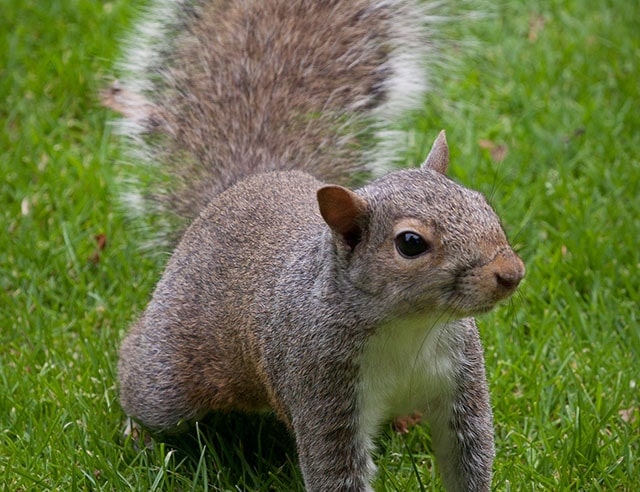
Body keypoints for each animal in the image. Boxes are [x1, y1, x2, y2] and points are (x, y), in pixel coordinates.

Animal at [110, 1, 525, 491]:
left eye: (482, 204)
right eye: (410, 243)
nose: (511, 274)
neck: (410, 327)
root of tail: (240, 187)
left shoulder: (461, 380)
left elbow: (469, 453)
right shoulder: (321, 387)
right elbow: (336, 468)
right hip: (171, 368)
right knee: (141, 377)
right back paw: (136, 432)